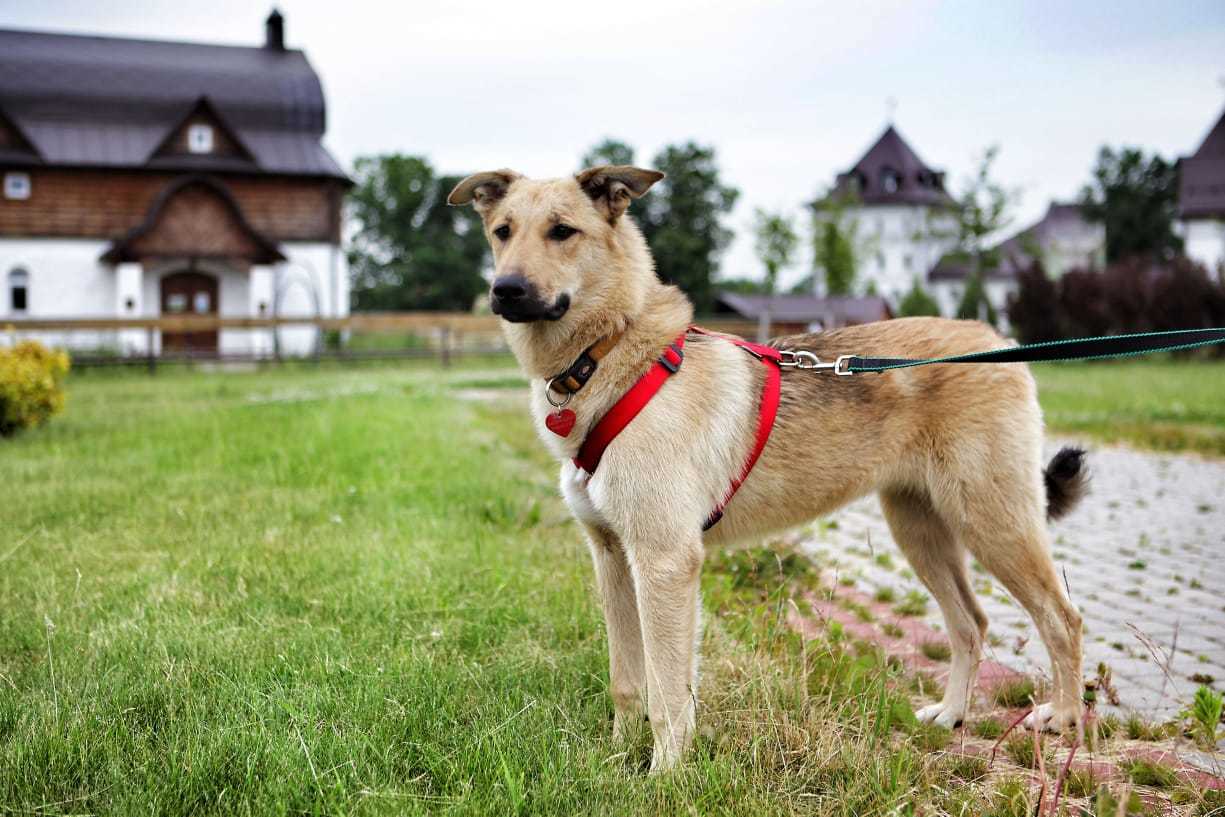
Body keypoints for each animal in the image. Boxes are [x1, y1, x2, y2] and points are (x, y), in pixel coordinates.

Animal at [450, 164, 1092, 774]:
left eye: (562, 231)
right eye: (502, 232)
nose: (504, 290)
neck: (611, 350)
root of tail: (993, 335)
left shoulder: (664, 562)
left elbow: (667, 691)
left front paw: (664, 775)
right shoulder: (612, 558)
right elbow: (628, 682)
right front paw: (614, 759)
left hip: (993, 523)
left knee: (1062, 619)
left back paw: (1063, 718)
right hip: (921, 531)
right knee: (970, 624)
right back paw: (954, 714)